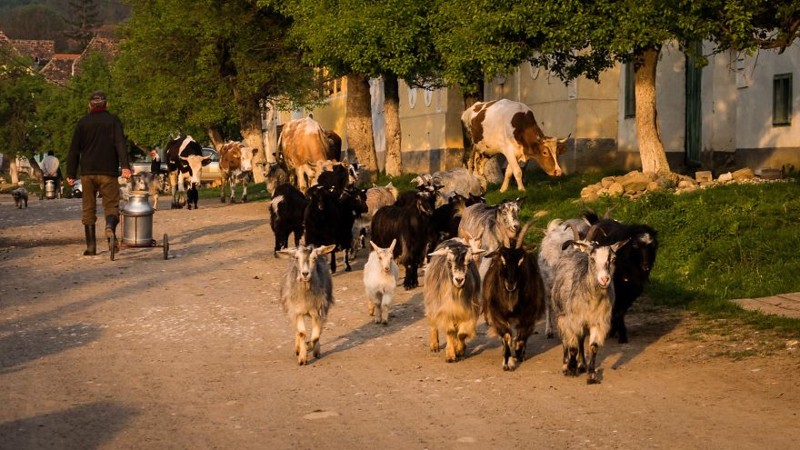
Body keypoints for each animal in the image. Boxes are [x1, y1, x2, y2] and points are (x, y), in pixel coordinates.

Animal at [482, 220, 544, 370]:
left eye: (521, 259)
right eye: (502, 259)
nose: (510, 284)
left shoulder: (528, 315)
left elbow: (521, 338)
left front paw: (518, 355)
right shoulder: (497, 314)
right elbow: (506, 336)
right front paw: (507, 362)